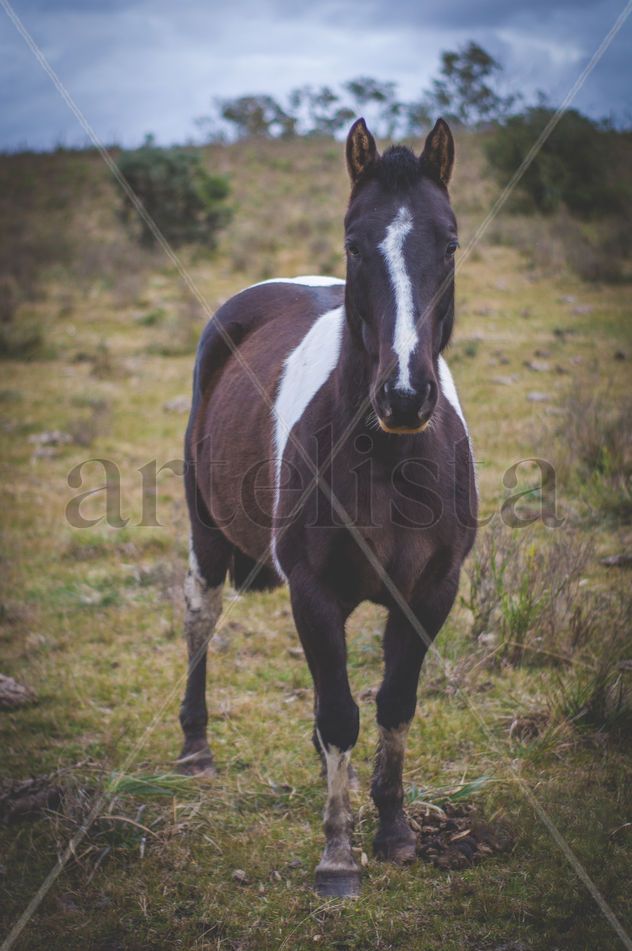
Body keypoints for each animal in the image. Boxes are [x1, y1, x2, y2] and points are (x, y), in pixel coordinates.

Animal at [177, 117, 477, 898]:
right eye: (353, 243)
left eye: (450, 243)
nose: (404, 395)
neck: (391, 458)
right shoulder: (312, 592)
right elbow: (341, 713)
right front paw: (339, 855)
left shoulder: (431, 592)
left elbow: (393, 705)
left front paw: (395, 830)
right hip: (206, 532)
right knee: (200, 618)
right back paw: (194, 748)